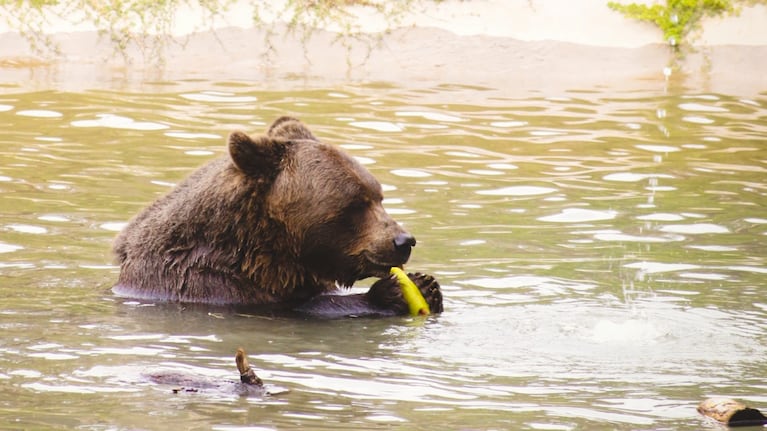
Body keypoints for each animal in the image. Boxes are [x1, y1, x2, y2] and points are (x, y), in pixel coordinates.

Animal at [112, 116, 442, 318]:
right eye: (356, 204)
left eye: (378, 196)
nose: (403, 241)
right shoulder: (211, 287)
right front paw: (393, 291)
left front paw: (428, 285)